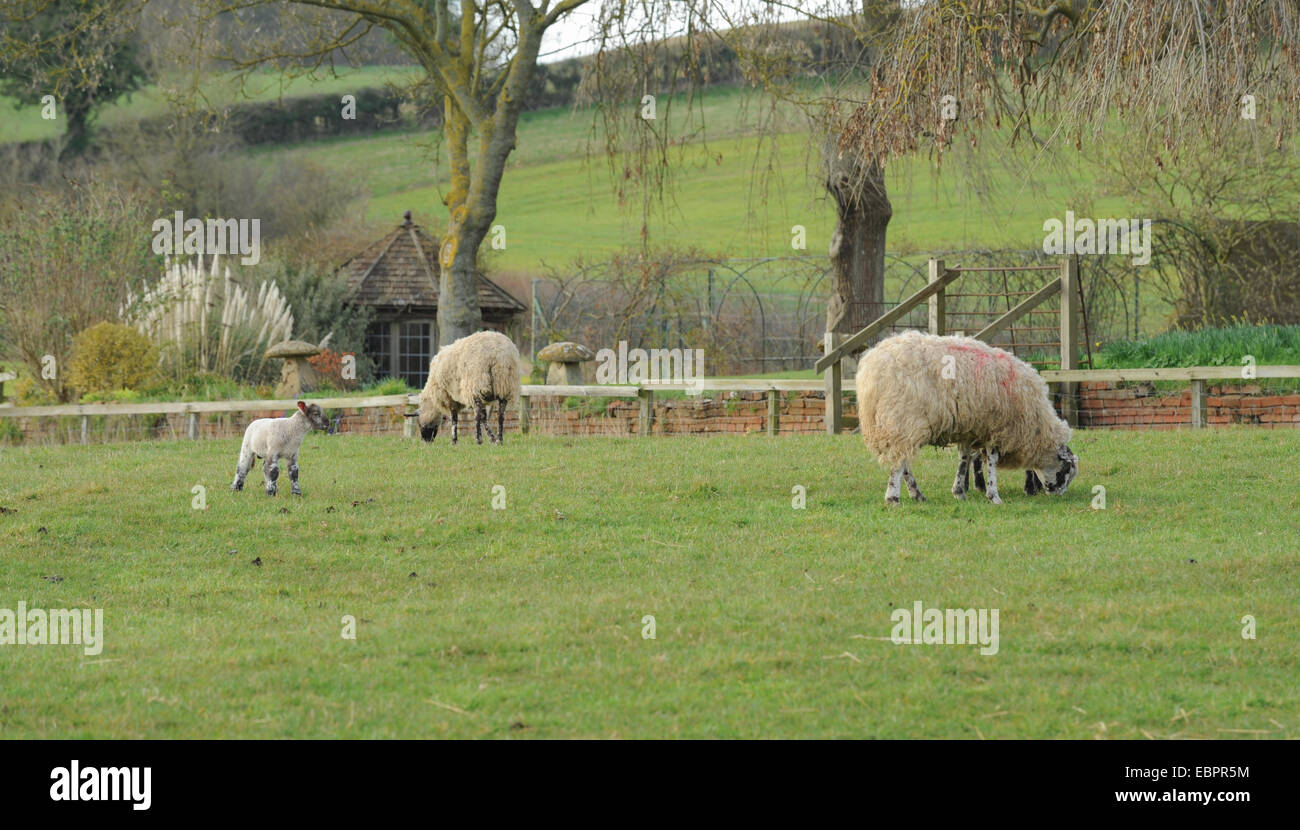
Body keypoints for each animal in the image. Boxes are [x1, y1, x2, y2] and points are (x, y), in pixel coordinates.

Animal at [852, 333, 1076, 507]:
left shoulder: (971, 428)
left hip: (901, 425)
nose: (1059, 495)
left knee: (904, 462)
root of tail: (870, 369)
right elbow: (991, 461)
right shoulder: (996, 427)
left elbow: (964, 458)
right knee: (899, 463)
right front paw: (993, 496)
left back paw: (917, 494)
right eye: (1067, 470)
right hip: (902, 419)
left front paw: (959, 491)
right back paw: (893, 497)